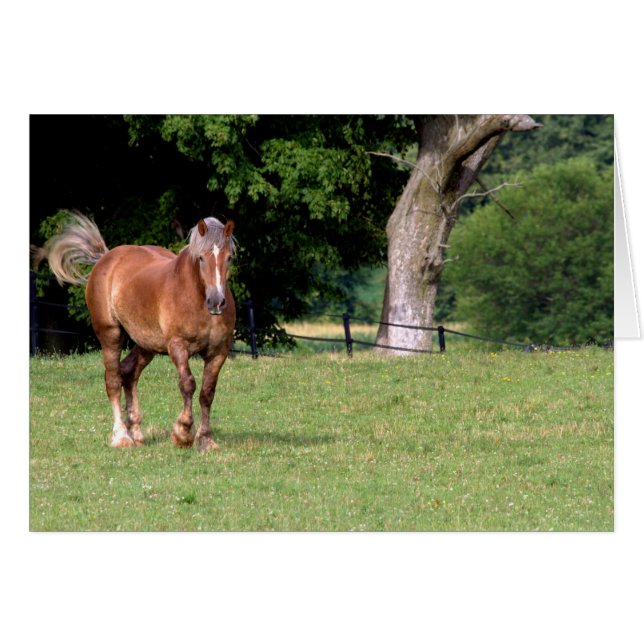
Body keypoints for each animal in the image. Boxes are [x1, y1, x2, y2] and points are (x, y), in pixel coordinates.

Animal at [41, 213, 236, 452]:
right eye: (201, 258)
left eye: (228, 258)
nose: (217, 302)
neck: (195, 295)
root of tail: (106, 258)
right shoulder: (177, 346)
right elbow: (188, 384)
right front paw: (182, 433)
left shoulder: (218, 352)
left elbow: (207, 393)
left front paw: (206, 440)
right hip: (111, 335)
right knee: (113, 380)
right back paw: (121, 436)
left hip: (146, 344)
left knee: (128, 373)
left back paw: (136, 432)